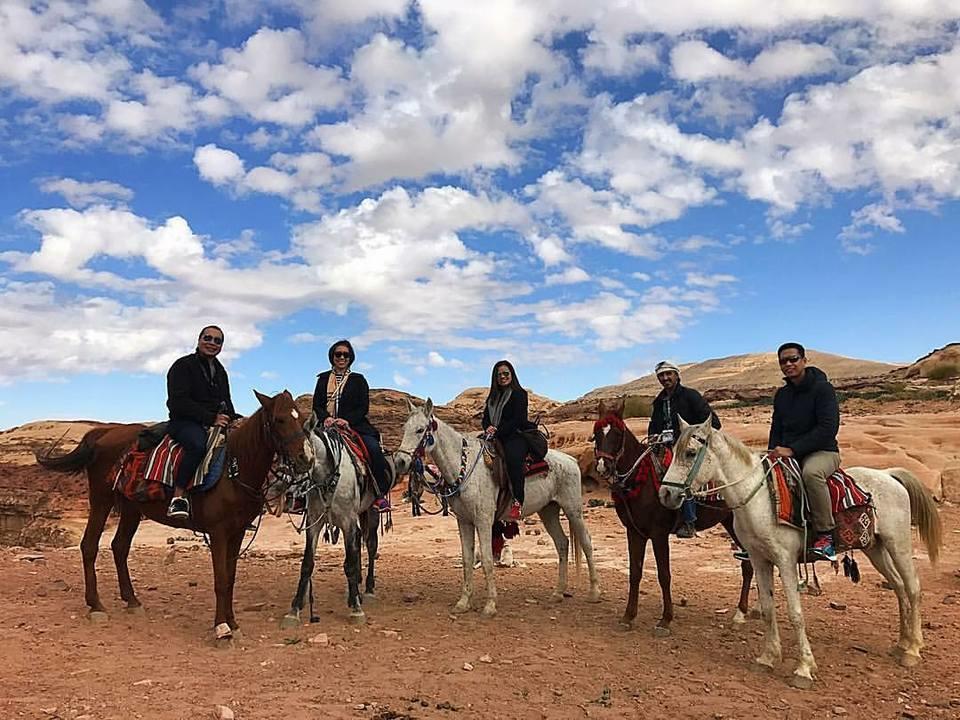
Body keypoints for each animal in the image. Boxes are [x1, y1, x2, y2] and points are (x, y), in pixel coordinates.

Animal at [33, 390, 310, 644]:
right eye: (279, 419)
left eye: (302, 417)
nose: (305, 458)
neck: (233, 469)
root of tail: (103, 433)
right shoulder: (218, 533)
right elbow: (221, 580)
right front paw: (222, 628)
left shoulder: (237, 532)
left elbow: (230, 579)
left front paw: (233, 623)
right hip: (102, 501)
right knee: (89, 546)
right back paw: (96, 606)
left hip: (132, 508)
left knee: (119, 547)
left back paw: (132, 601)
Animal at [280, 420, 388, 628]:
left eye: (302, 458)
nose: (288, 495)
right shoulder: (314, 521)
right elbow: (307, 564)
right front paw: (294, 610)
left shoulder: (347, 521)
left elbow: (350, 563)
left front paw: (356, 610)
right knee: (359, 541)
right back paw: (355, 591)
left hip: (370, 511)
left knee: (371, 545)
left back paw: (368, 589)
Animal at [394, 400, 596, 620]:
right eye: (404, 428)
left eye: (420, 429)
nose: (400, 462)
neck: (464, 468)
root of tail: (571, 460)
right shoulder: (464, 521)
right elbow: (467, 559)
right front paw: (463, 602)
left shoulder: (483, 521)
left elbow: (488, 559)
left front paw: (490, 605)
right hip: (548, 511)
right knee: (562, 544)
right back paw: (558, 593)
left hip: (573, 509)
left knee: (586, 543)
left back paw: (594, 592)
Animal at [588, 400, 752, 636]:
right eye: (596, 433)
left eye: (618, 433)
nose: (603, 466)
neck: (641, 480)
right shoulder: (634, 532)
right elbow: (635, 573)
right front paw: (628, 616)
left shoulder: (659, 534)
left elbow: (664, 575)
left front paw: (665, 620)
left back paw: (741, 613)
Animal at [656, 416, 940, 688]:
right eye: (674, 450)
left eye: (691, 453)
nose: (665, 493)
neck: (758, 498)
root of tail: (890, 475)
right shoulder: (759, 560)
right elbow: (768, 609)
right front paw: (768, 658)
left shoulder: (785, 561)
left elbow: (795, 613)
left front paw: (804, 668)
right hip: (876, 548)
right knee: (899, 587)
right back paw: (902, 643)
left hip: (898, 544)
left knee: (913, 588)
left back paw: (913, 650)